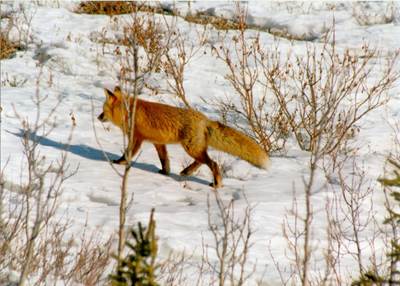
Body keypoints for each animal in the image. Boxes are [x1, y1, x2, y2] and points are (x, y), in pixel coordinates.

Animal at [96, 88, 268, 189]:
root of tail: (204, 118)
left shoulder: (136, 139)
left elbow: (127, 154)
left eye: (103, 109)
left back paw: (216, 184)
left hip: (191, 148)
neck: (128, 112)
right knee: (202, 161)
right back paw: (187, 171)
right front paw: (165, 173)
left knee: (213, 163)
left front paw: (118, 162)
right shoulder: (158, 142)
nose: (98, 117)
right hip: (195, 149)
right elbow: (164, 160)